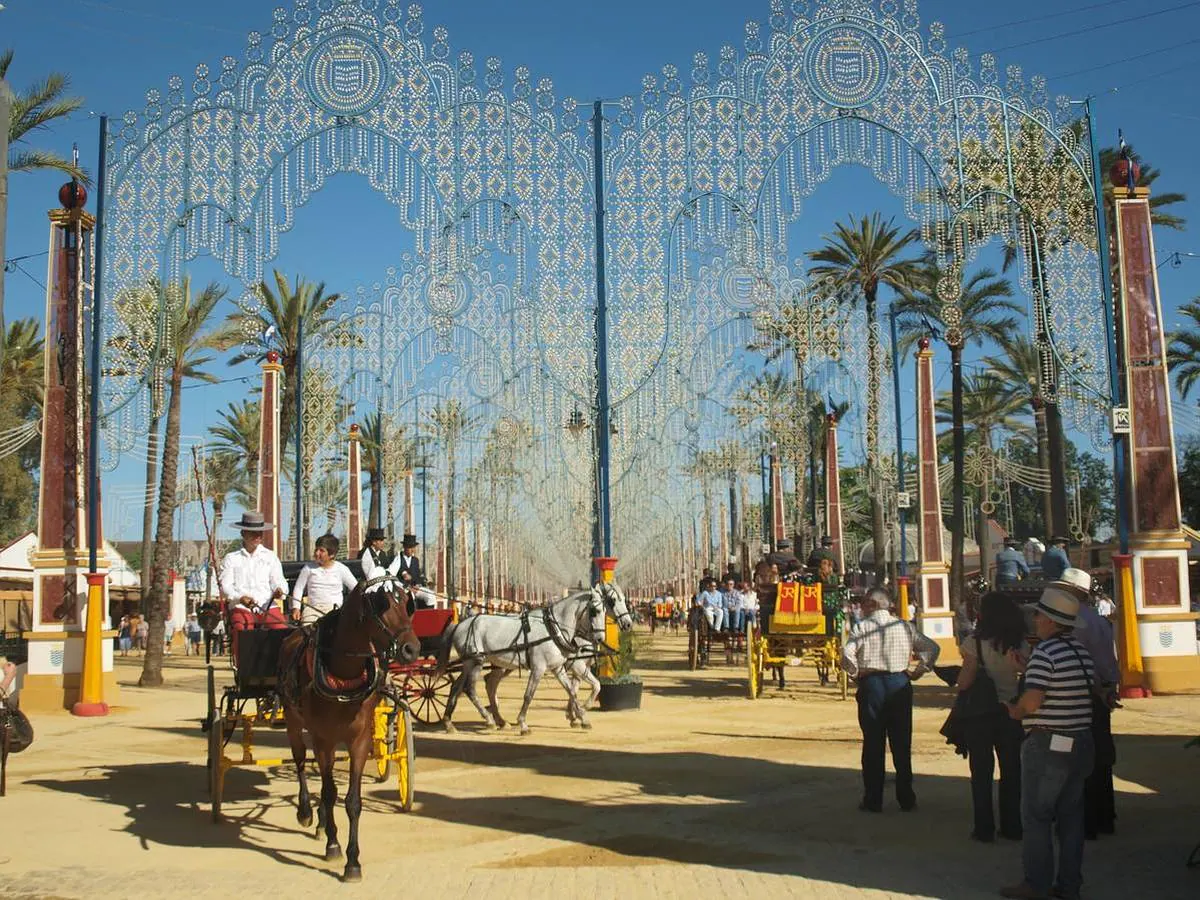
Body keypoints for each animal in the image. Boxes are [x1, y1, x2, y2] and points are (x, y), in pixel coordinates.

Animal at [277, 571, 422, 883]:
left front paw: (353, 861)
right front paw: (334, 845)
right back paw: (306, 812)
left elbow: (352, 801)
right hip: (295, 722)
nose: (412, 649)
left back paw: (320, 823)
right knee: (300, 762)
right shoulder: (323, 738)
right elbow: (330, 792)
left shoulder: (359, 740)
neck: (343, 672)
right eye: (381, 605)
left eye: (407, 604)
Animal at [436, 580, 633, 734]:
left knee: (465, 686)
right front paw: (523, 724)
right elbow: (529, 695)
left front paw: (580, 717)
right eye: (596, 610)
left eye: (621, 600)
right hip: (476, 662)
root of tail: (461, 624)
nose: (628, 623)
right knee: (470, 688)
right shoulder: (544, 667)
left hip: (479, 663)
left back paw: (453, 722)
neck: (555, 628)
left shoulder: (559, 667)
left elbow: (573, 690)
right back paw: (489, 720)